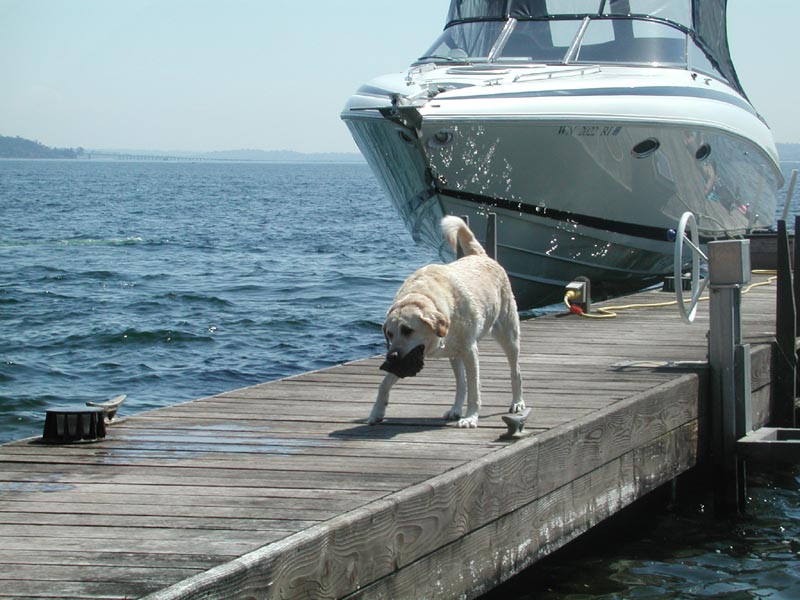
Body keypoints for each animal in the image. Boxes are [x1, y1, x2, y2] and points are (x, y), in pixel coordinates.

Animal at [368, 216, 524, 426]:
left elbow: (474, 389)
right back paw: (455, 409)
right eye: (389, 334)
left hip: (508, 336)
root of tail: (482, 256)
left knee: (515, 372)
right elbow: (384, 384)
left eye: (407, 330)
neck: (424, 296)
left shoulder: (470, 351)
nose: (390, 356)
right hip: (454, 355)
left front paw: (471, 417)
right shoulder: (406, 357)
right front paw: (377, 411)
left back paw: (517, 402)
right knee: (461, 384)